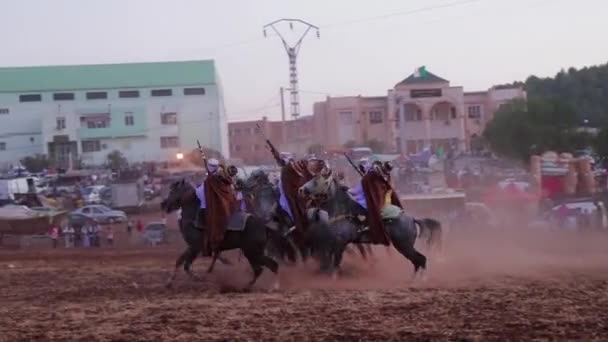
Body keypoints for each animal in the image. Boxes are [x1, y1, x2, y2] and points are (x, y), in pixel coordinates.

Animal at [160, 179, 296, 288]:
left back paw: (274, 286)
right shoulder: (194, 247)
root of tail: (263, 226)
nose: (163, 204)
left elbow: (186, 265)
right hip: (252, 252)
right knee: (259, 269)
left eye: (173, 191)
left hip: (252, 252)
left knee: (271, 265)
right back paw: (247, 286)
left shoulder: (195, 247)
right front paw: (169, 282)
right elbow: (180, 262)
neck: (193, 217)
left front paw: (197, 277)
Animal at [298, 171, 442, 278]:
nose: (301, 189)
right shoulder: (335, 243)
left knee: (420, 260)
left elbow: (336, 263)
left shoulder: (340, 243)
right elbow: (330, 259)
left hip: (404, 245)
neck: (343, 210)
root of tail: (412, 219)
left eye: (316, 181)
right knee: (417, 261)